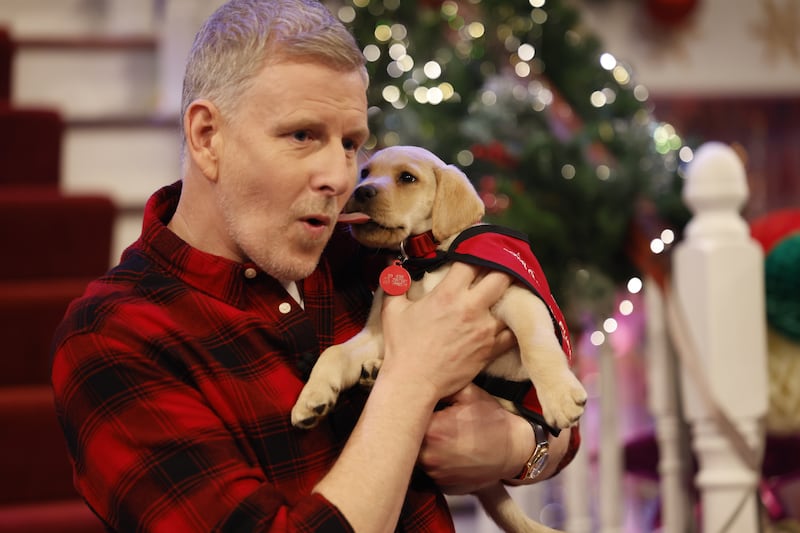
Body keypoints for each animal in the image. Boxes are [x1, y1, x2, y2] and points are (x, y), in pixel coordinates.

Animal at [294, 145, 588, 532]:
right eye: (365, 173)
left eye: (407, 177)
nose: (361, 191)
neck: (427, 259)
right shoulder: (378, 334)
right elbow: (334, 353)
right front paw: (312, 397)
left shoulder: (516, 297)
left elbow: (537, 343)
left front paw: (559, 396)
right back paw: (373, 374)